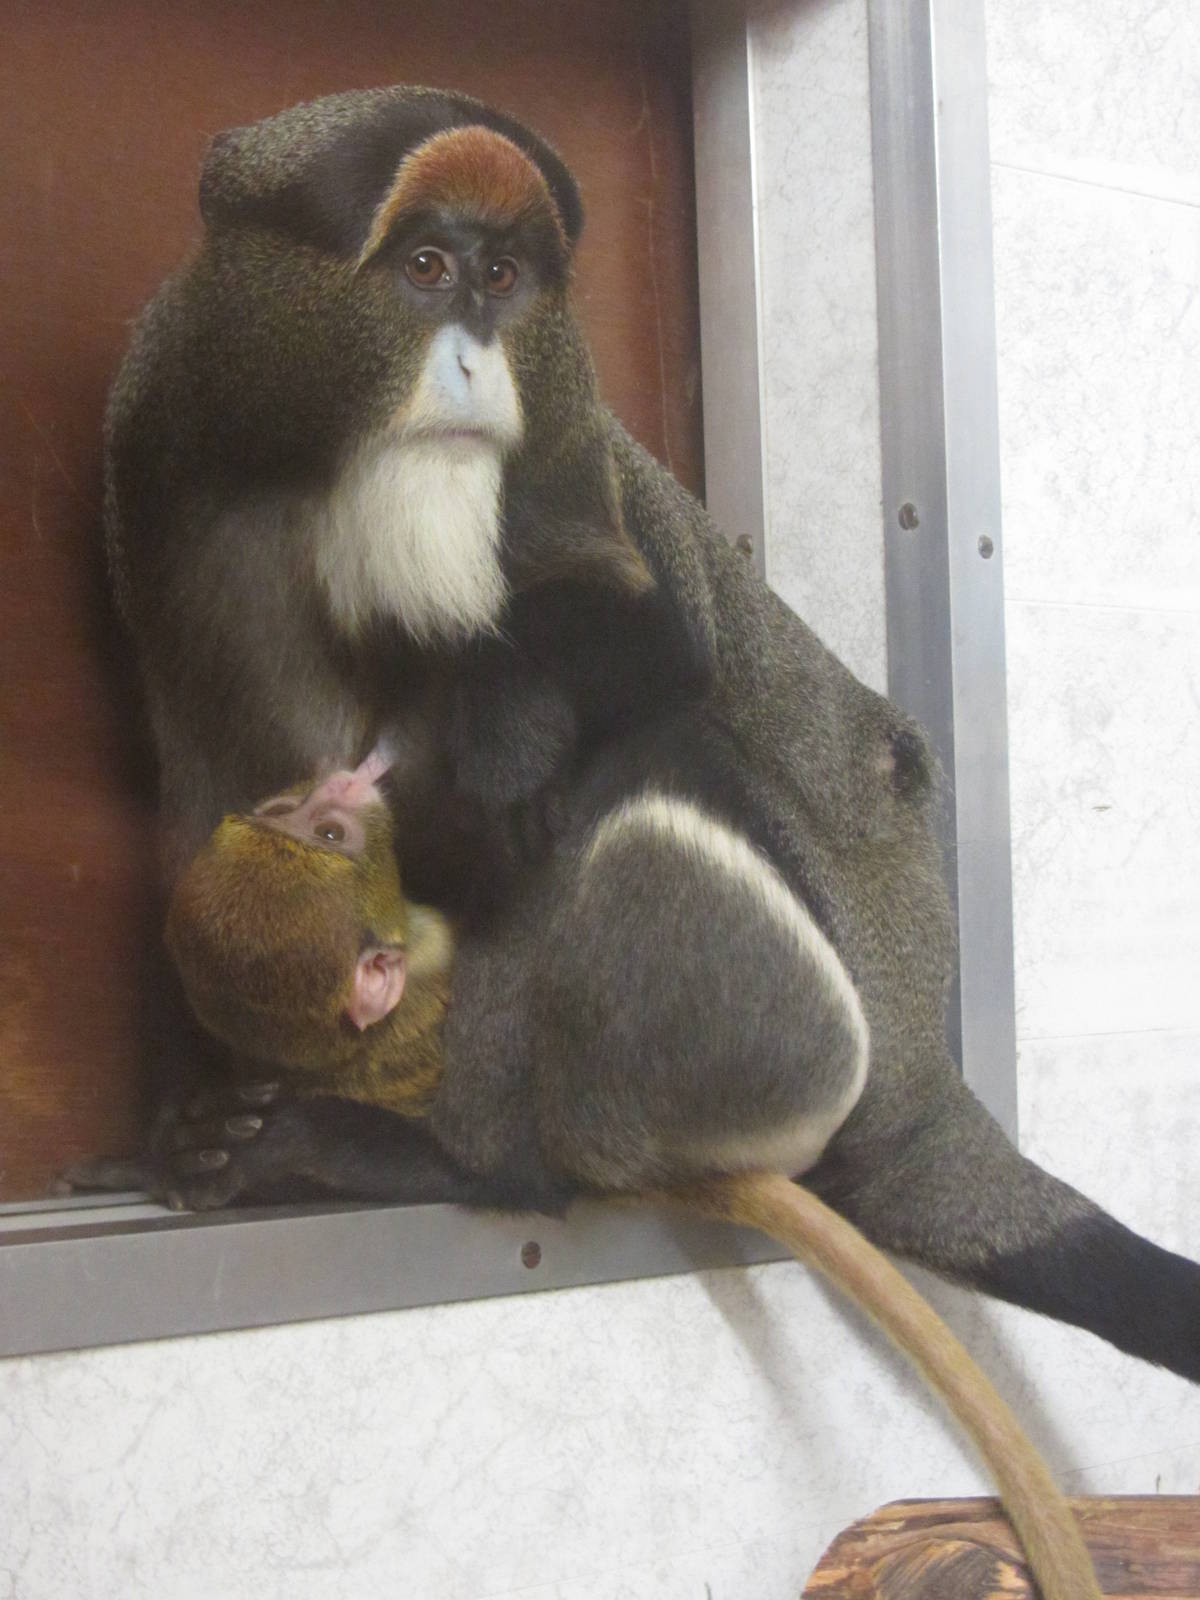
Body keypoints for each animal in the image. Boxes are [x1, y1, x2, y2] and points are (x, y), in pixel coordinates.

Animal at [93, 85, 1200, 1387]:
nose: (473, 358)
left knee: (644, 774)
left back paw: (467, 1159)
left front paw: (498, 725)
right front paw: (190, 1112)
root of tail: (928, 1089)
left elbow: (665, 657)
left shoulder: (573, 458)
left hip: (821, 1062)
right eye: (425, 268)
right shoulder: (161, 448)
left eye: (505, 277)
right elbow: (221, 782)